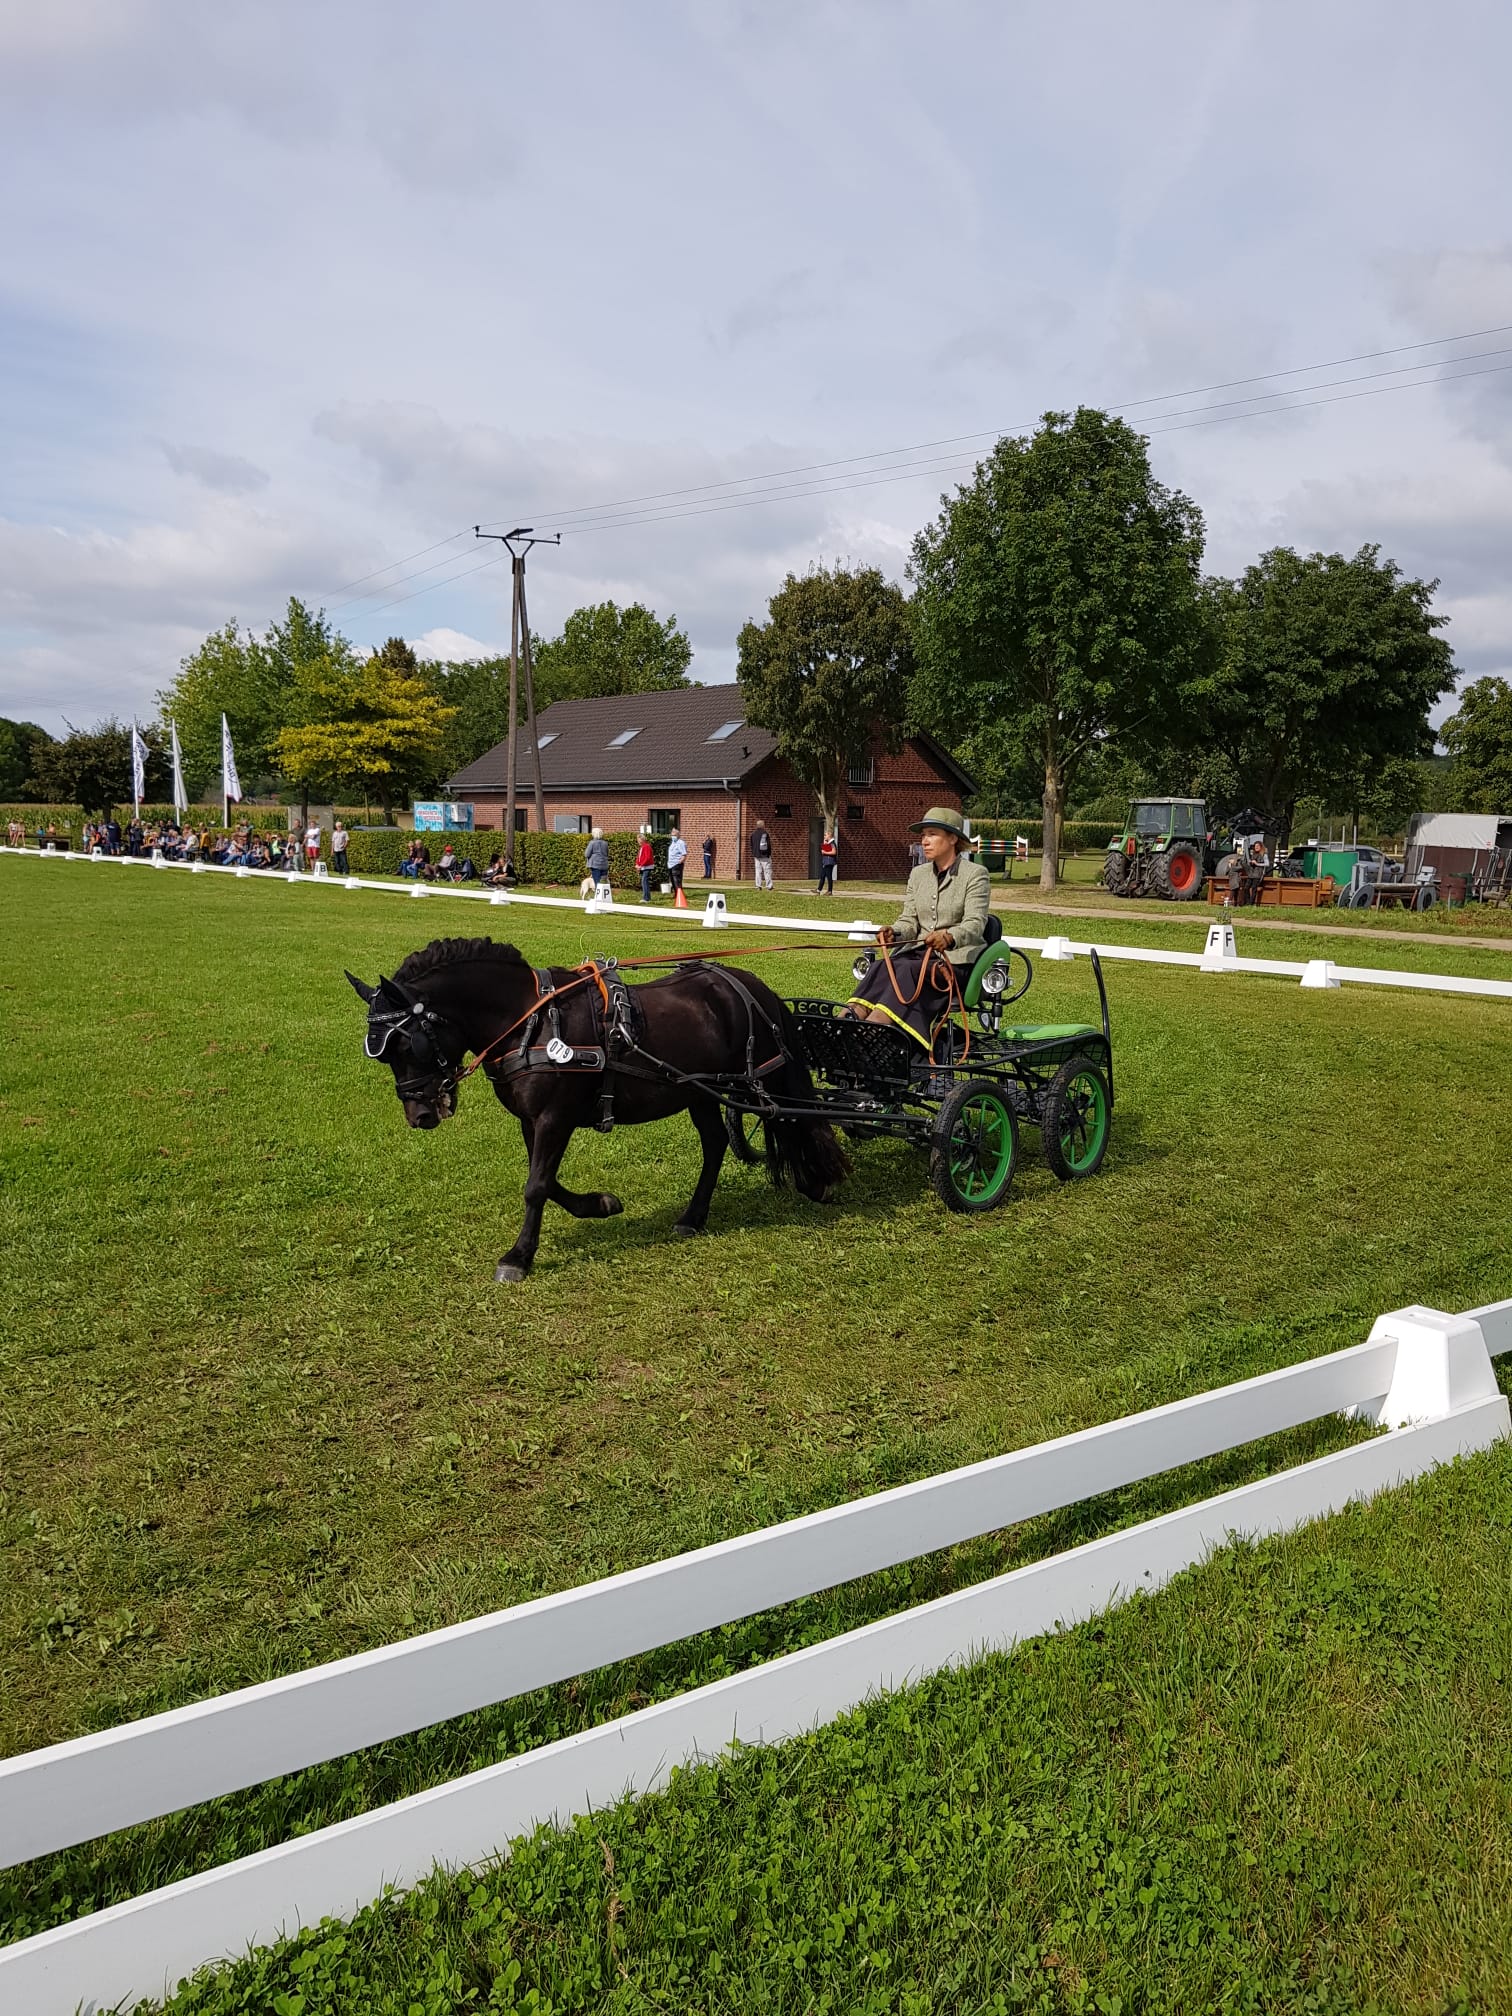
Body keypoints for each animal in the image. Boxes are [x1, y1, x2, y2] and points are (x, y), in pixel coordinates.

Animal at [348, 939, 854, 1282]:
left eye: (406, 1044)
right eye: (381, 1053)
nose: (420, 1114)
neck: (529, 1022)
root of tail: (748, 985)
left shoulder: (555, 1118)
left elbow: (535, 1186)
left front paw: (518, 1257)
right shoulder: (532, 1121)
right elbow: (546, 1182)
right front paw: (601, 1204)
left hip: (760, 1079)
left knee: (791, 1120)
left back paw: (816, 1180)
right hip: (701, 1093)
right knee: (715, 1147)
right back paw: (693, 1216)